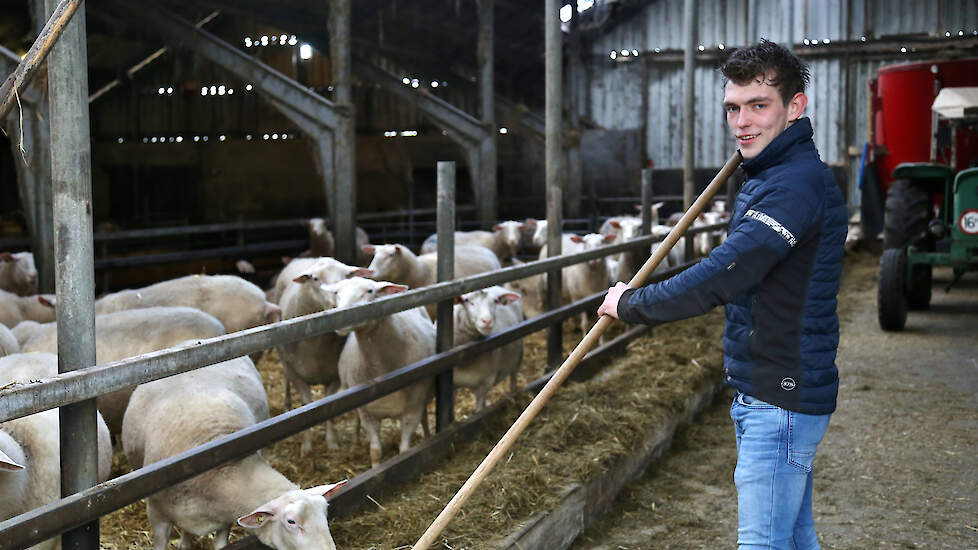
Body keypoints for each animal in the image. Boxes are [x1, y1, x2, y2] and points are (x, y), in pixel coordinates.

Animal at [324, 278, 434, 468]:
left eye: (370, 291)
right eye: (337, 293)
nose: (339, 320)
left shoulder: (412, 411)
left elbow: (404, 451)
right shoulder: (368, 413)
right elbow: (375, 451)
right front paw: (376, 468)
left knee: (425, 416)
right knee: (356, 420)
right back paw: (355, 442)